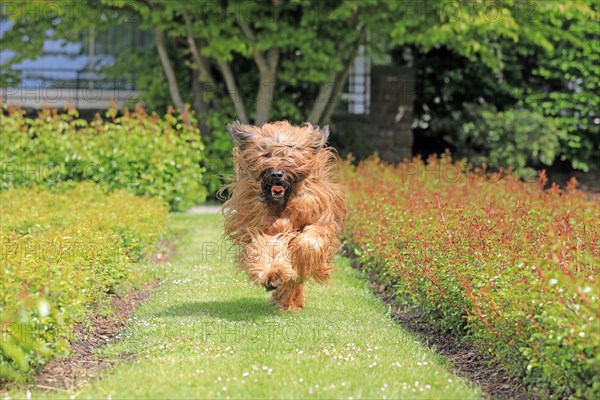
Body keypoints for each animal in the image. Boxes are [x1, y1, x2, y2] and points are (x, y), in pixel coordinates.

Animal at [221, 120, 346, 310]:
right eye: (267, 154)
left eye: (291, 155)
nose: (276, 174)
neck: (283, 204)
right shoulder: (262, 225)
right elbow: (269, 246)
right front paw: (273, 274)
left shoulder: (318, 216)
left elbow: (310, 242)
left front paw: (301, 253)